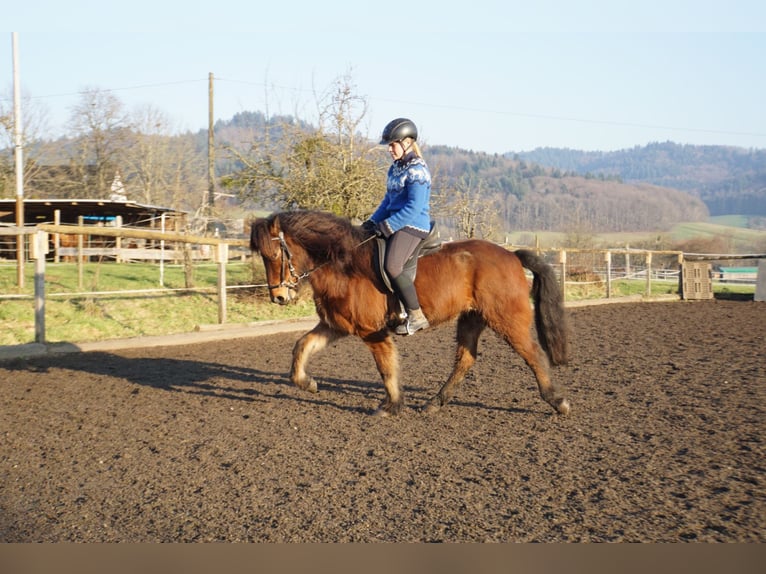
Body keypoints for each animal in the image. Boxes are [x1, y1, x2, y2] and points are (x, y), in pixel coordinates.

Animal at [252, 212, 568, 418]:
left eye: (275, 255)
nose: (278, 297)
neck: (342, 265)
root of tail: (511, 255)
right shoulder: (336, 326)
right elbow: (302, 346)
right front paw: (307, 383)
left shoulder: (372, 331)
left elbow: (386, 367)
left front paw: (391, 405)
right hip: (471, 318)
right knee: (465, 359)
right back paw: (435, 403)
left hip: (506, 318)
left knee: (532, 354)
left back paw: (557, 401)